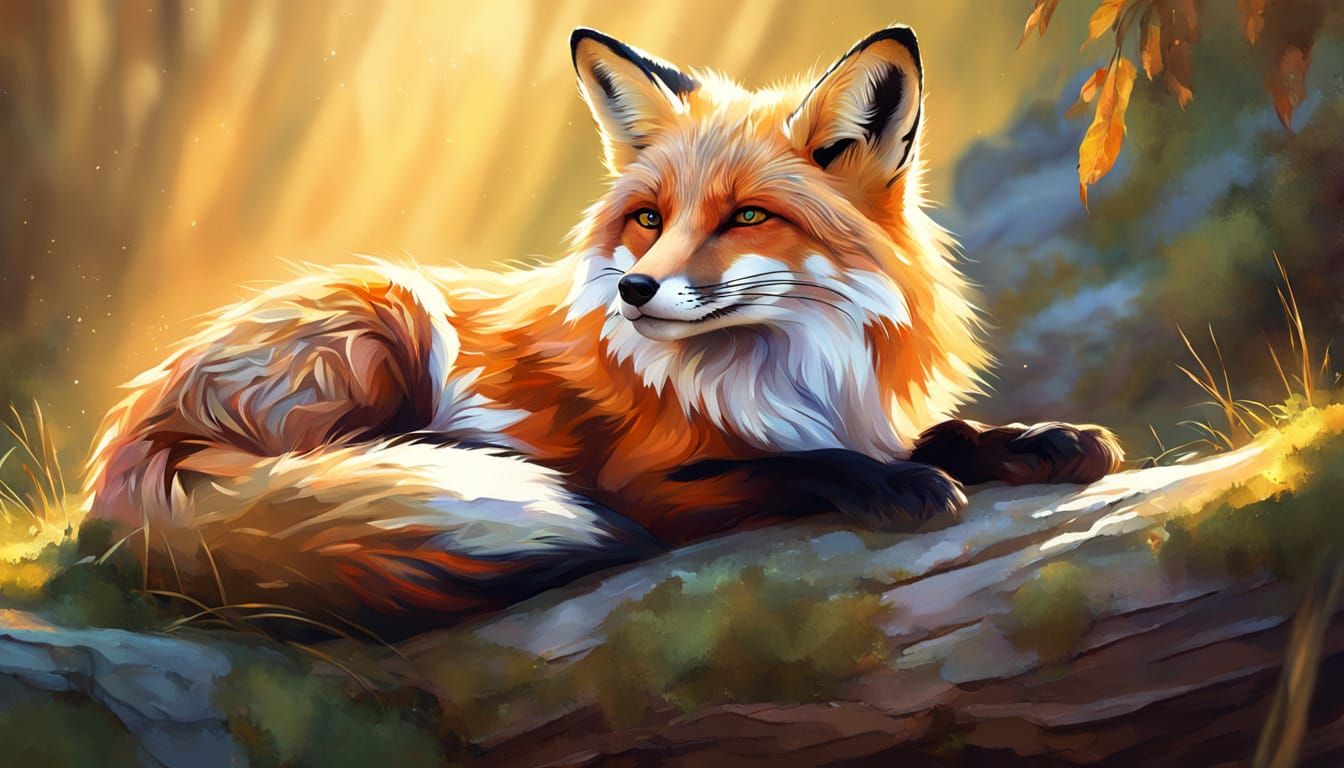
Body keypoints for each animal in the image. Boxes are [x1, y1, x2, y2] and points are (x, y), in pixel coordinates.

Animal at [84, 25, 1123, 636]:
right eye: (649, 218)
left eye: (748, 217)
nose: (633, 289)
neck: (792, 367)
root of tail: (130, 440)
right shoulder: (652, 484)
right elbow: (793, 465)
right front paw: (894, 485)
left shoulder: (863, 412)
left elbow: (947, 434)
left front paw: (1042, 440)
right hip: (387, 321)